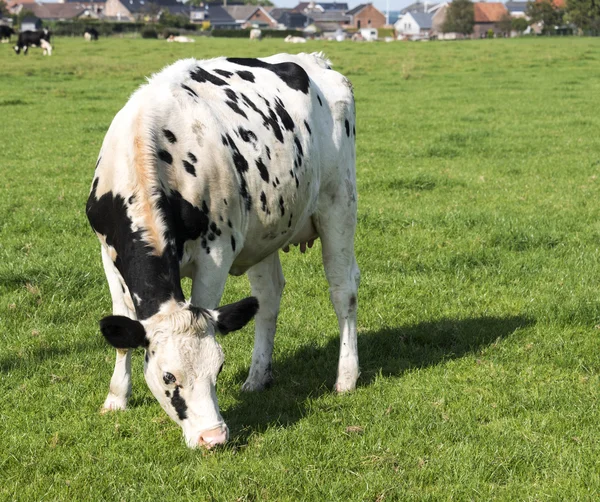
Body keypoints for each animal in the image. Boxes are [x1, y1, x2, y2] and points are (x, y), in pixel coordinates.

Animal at [86, 53, 358, 450]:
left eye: (218, 367)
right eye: (168, 377)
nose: (212, 437)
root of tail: (311, 60)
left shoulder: (214, 255)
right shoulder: (108, 253)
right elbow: (123, 330)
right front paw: (117, 398)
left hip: (338, 204)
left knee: (343, 291)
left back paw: (347, 377)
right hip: (265, 230)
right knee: (267, 297)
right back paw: (258, 377)